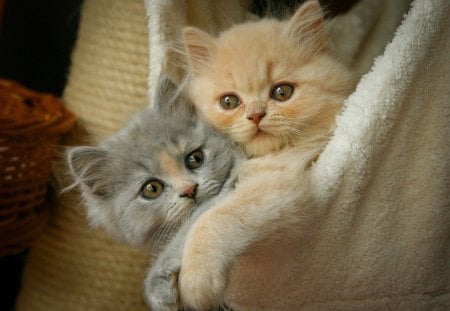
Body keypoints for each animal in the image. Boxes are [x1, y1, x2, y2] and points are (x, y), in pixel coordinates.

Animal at [148, 1, 356, 310]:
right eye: (229, 101)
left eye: (282, 92)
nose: (256, 115)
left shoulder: (278, 183)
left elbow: (212, 221)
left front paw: (195, 283)